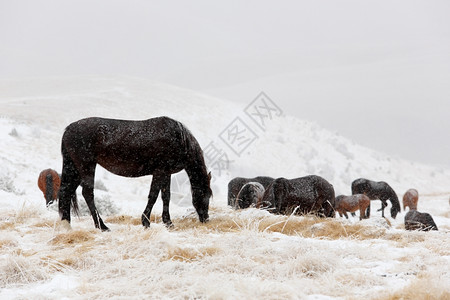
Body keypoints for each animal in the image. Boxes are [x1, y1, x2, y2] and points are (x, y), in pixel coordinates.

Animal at [59, 116, 212, 231]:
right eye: (206, 195)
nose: (205, 218)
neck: (178, 138)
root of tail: (68, 129)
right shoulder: (160, 171)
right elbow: (153, 196)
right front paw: (146, 222)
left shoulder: (166, 173)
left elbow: (166, 196)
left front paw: (168, 222)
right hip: (87, 166)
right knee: (87, 193)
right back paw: (101, 226)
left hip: (75, 169)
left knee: (66, 191)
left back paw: (66, 225)